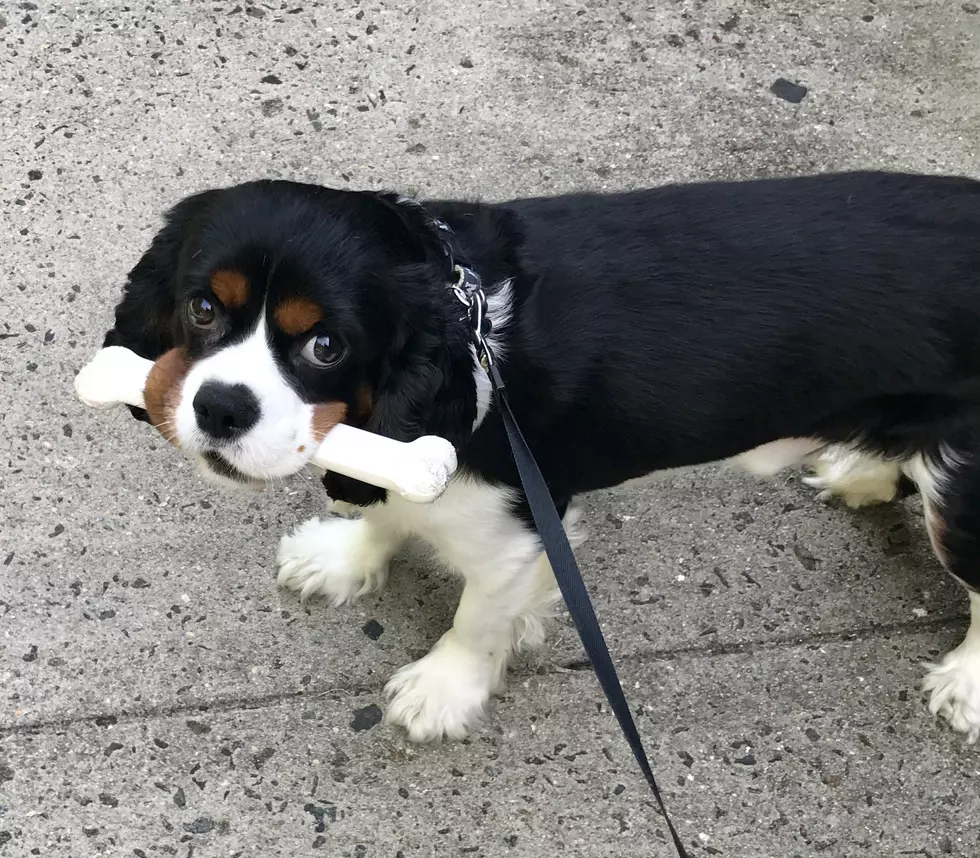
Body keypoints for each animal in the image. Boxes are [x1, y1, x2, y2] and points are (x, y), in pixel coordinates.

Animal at [101, 172, 980, 744]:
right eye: (201, 307)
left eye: (326, 345)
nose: (219, 407)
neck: (470, 326)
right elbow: (391, 512)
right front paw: (346, 556)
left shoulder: (520, 522)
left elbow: (477, 616)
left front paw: (444, 689)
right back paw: (864, 470)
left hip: (967, 491)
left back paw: (966, 681)